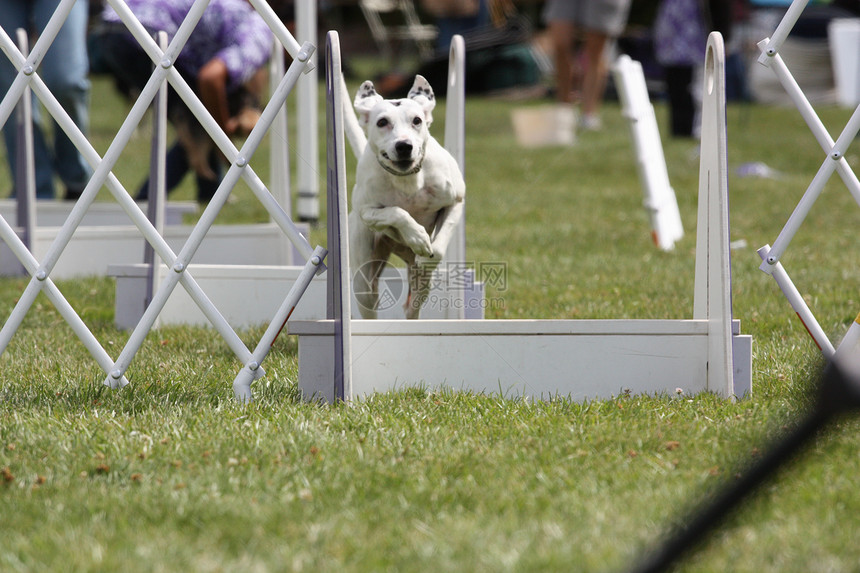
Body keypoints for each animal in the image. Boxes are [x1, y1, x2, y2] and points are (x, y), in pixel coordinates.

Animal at [342, 74, 464, 320]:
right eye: (382, 122)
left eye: (417, 120)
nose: (404, 146)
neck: (408, 180)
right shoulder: (367, 212)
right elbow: (396, 212)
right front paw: (417, 236)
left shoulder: (455, 201)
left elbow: (439, 244)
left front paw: (427, 253)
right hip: (363, 277)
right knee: (369, 300)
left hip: (418, 284)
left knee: (412, 304)